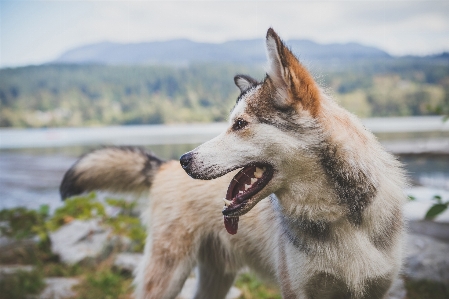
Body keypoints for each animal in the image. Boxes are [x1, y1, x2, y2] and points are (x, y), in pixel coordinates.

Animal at [59, 28, 406, 299]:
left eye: (239, 124)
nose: (185, 160)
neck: (342, 219)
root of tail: (162, 166)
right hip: (168, 275)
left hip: (215, 279)